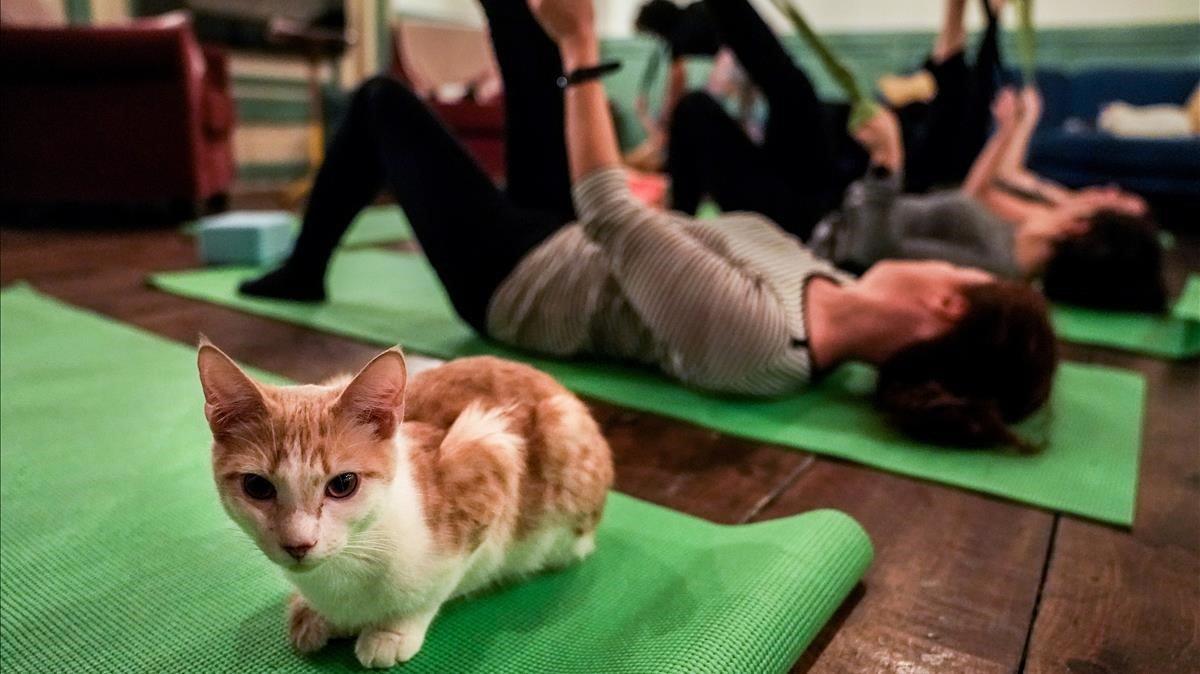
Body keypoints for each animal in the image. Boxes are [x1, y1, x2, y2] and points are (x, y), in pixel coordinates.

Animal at [198, 340, 614, 666]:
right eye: (257, 487)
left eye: (343, 484)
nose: (298, 544)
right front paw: (313, 613)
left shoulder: (489, 458)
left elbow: (437, 587)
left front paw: (392, 630)